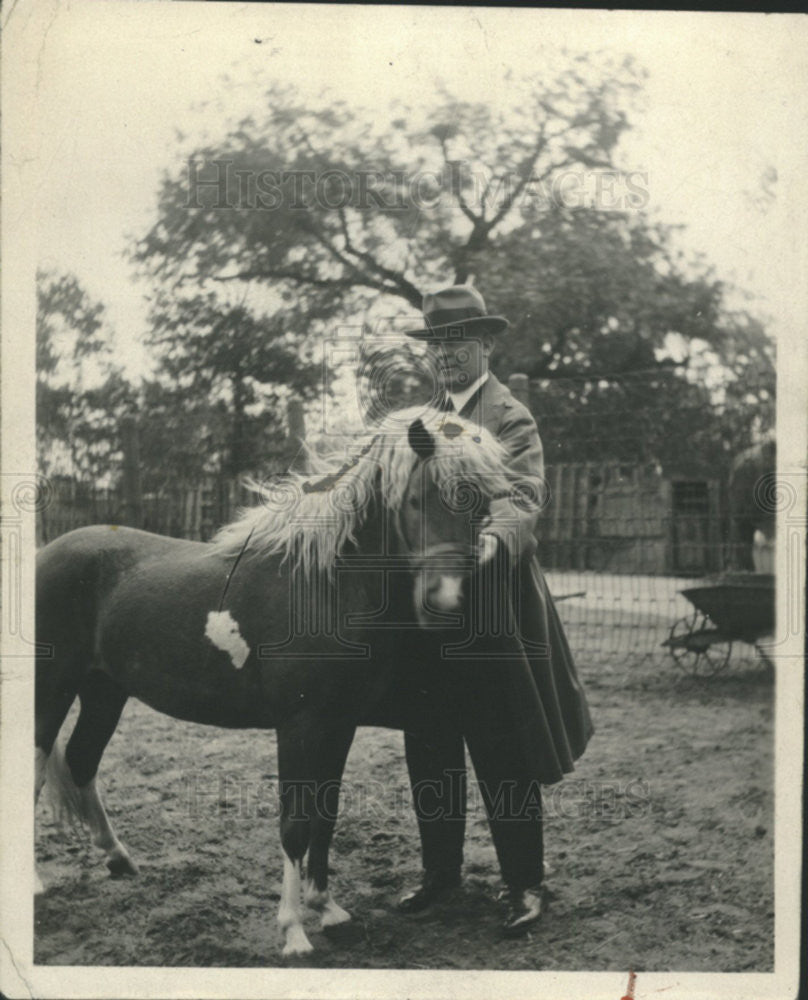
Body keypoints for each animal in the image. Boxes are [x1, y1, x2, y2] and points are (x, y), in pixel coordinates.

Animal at [34, 404, 516, 952]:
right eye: (415, 500)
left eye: (481, 506)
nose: (445, 600)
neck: (324, 585)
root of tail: (48, 554)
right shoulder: (299, 725)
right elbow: (295, 823)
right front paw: (293, 932)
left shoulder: (339, 723)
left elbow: (326, 814)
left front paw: (327, 908)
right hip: (52, 686)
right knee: (36, 765)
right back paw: (34, 883)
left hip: (104, 690)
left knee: (81, 760)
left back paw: (119, 858)